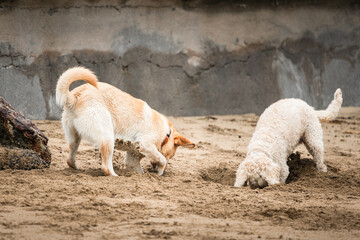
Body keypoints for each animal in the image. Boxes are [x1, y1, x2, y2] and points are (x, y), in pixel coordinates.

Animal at [55, 66, 194, 175]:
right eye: (170, 156)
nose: (164, 172)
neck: (166, 134)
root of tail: (74, 97)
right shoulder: (146, 144)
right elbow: (162, 160)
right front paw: (160, 171)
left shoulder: (133, 157)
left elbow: (138, 168)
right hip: (107, 137)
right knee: (106, 167)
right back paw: (115, 176)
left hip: (74, 138)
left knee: (70, 159)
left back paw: (77, 168)